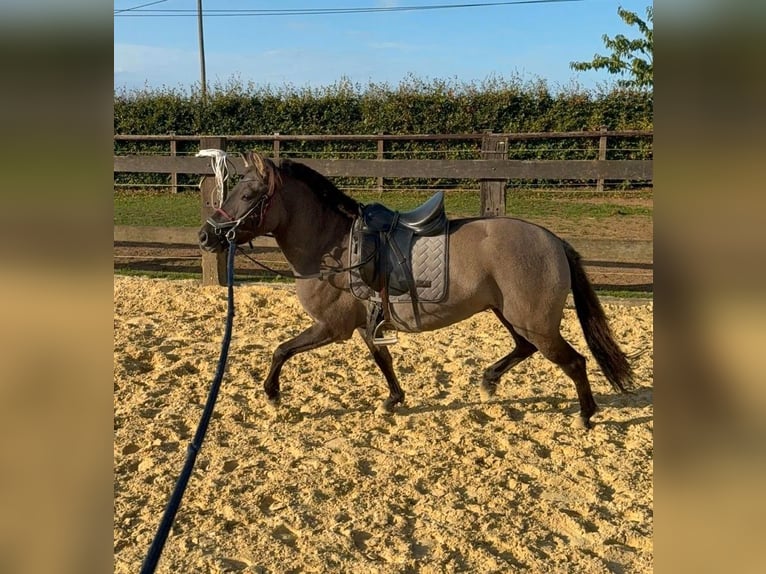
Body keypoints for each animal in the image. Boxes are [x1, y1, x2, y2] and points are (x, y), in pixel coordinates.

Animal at [198, 152, 634, 429]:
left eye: (248, 195)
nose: (206, 235)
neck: (333, 246)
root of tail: (553, 241)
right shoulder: (366, 325)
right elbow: (383, 361)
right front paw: (394, 399)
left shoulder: (332, 327)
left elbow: (281, 350)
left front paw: (272, 394)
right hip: (511, 315)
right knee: (525, 349)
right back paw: (489, 381)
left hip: (535, 323)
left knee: (574, 362)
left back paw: (586, 415)